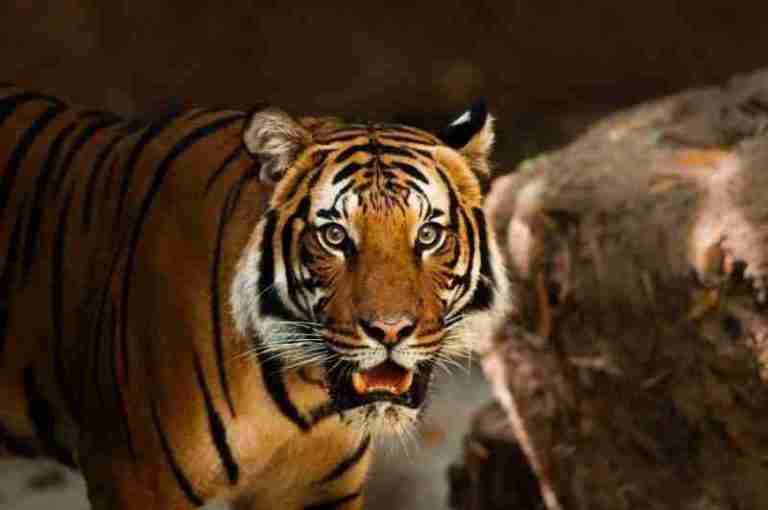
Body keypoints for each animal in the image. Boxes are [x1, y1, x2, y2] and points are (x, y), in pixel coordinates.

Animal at [0, 85, 510, 509]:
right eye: (334, 236)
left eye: (427, 235)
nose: (390, 330)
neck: (301, 392)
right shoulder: (134, 478)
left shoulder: (319, 491)